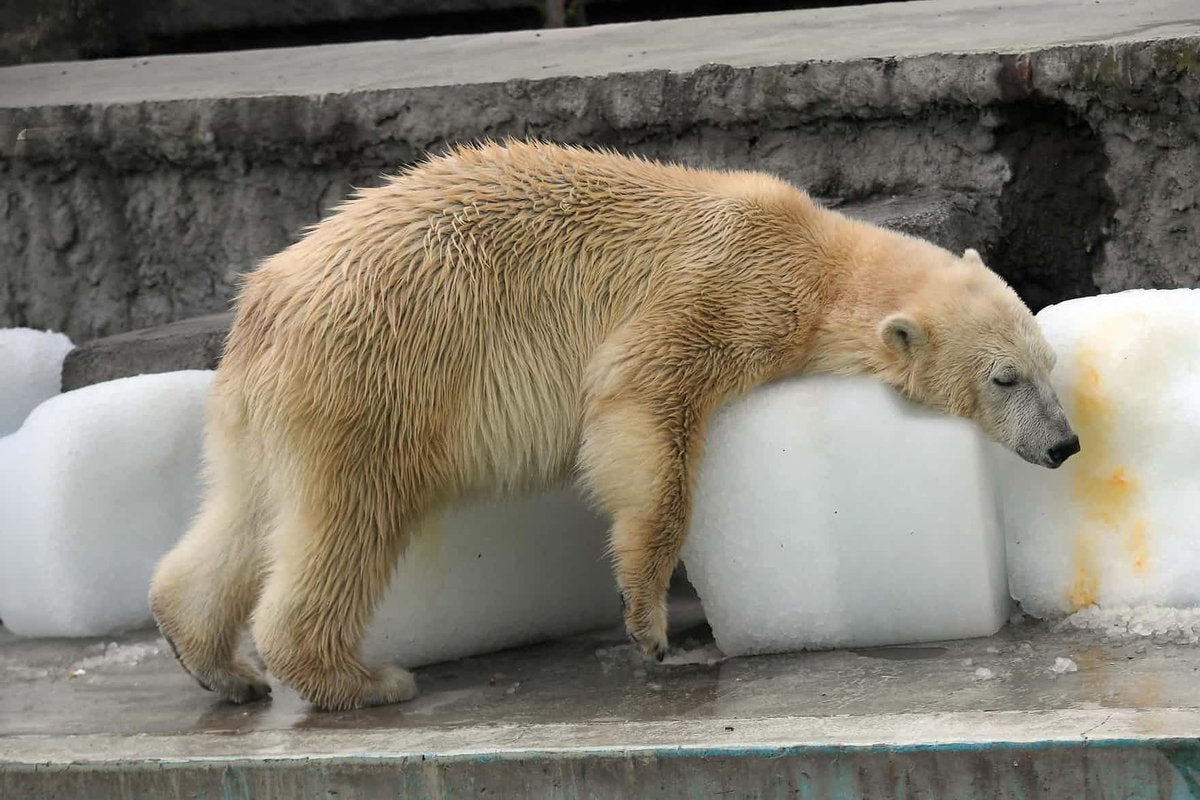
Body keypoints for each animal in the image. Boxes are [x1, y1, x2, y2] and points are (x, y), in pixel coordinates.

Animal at [149, 140, 1079, 711]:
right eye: (1004, 378)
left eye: (1049, 365)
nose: (1064, 443)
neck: (813, 257)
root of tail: (263, 305)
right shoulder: (721, 289)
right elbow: (641, 406)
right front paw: (650, 625)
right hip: (377, 378)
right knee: (351, 517)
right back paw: (365, 679)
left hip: (266, 410)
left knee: (246, 513)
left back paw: (214, 661)